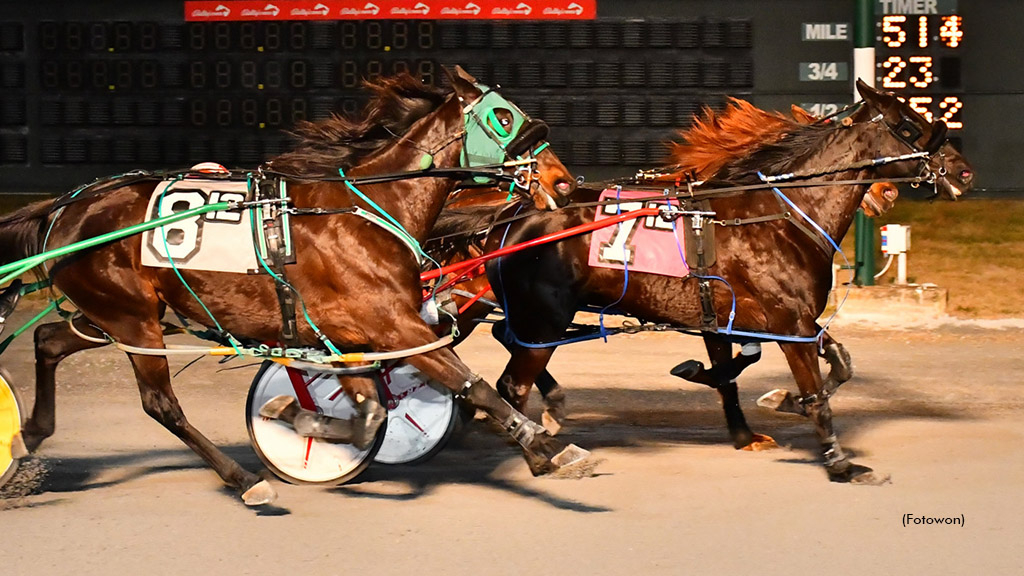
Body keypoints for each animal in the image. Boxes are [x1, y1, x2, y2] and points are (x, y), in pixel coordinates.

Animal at [0, 68, 598, 502]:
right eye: (504, 116)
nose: (564, 181)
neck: (367, 209)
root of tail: (66, 207)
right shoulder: (395, 327)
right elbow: (469, 385)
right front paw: (545, 447)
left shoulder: (353, 337)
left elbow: (370, 412)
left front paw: (295, 415)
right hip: (132, 318)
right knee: (160, 404)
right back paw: (244, 480)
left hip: (119, 316)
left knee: (49, 340)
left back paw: (28, 436)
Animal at [434, 80, 974, 481]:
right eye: (909, 125)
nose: (963, 172)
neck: (778, 216)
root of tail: (509, 215)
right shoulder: (788, 323)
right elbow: (813, 390)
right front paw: (838, 462)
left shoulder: (762, 318)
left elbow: (830, 364)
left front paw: (767, 412)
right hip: (541, 316)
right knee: (508, 381)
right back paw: (539, 453)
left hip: (528, 314)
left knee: (505, 353)